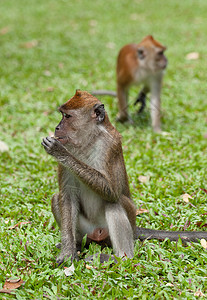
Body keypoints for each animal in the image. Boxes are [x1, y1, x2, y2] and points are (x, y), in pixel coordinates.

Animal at [41, 90, 207, 264]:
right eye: (62, 115)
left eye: (67, 116)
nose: (57, 127)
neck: (88, 141)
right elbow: (67, 196)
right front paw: (67, 252)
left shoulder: (109, 147)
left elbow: (112, 191)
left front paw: (59, 152)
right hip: (87, 231)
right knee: (57, 198)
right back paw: (79, 244)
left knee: (115, 203)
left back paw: (120, 258)